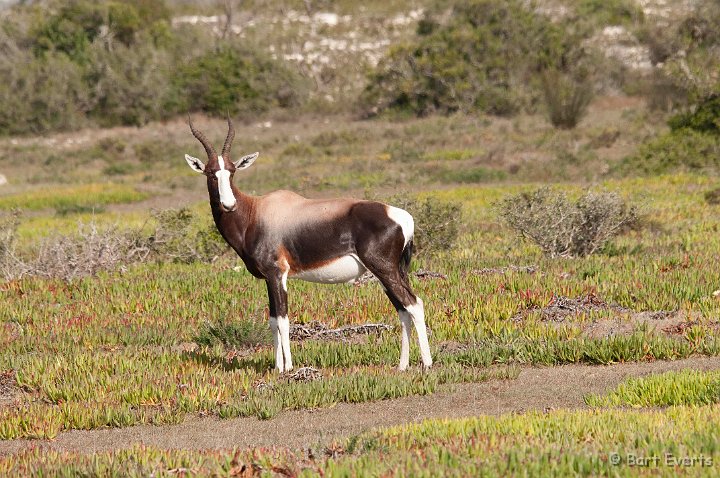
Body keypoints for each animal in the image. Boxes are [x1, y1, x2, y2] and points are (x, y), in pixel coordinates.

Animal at [186, 117, 434, 372]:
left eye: (232, 172)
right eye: (210, 173)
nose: (228, 205)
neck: (255, 211)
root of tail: (403, 217)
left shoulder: (278, 274)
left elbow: (283, 321)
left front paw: (288, 368)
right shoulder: (269, 279)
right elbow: (272, 321)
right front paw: (277, 367)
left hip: (384, 270)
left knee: (414, 304)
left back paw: (427, 363)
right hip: (390, 273)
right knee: (403, 310)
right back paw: (402, 365)